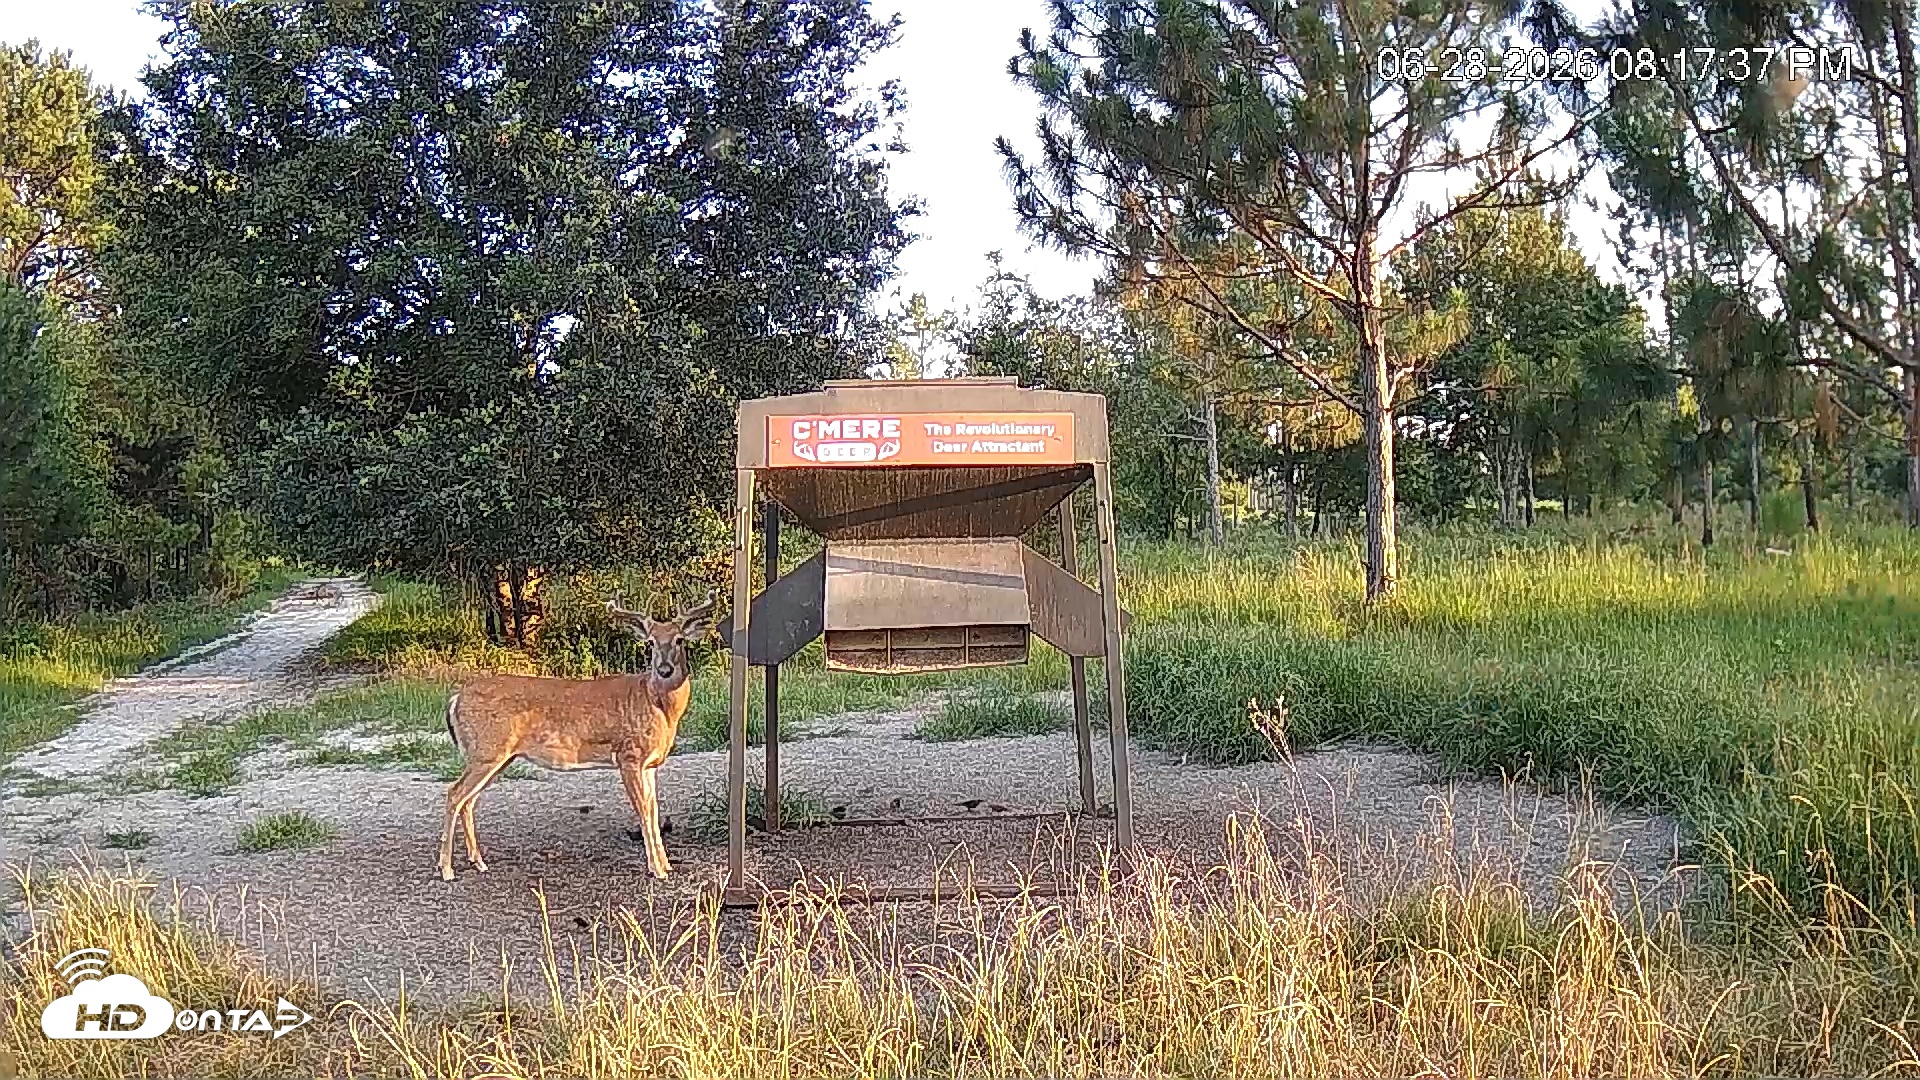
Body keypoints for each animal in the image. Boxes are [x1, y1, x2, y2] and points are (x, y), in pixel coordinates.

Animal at [438, 592, 715, 882]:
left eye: (679, 639)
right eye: (650, 642)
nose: (664, 669)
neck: (657, 705)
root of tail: (455, 699)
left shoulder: (650, 763)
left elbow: (653, 811)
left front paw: (666, 864)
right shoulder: (628, 755)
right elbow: (642, 811)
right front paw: (657, 870)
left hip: (497, 756)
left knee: (469, 800)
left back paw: (478, 862)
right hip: (486, 751)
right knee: (454, 793)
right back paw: (447, 869)